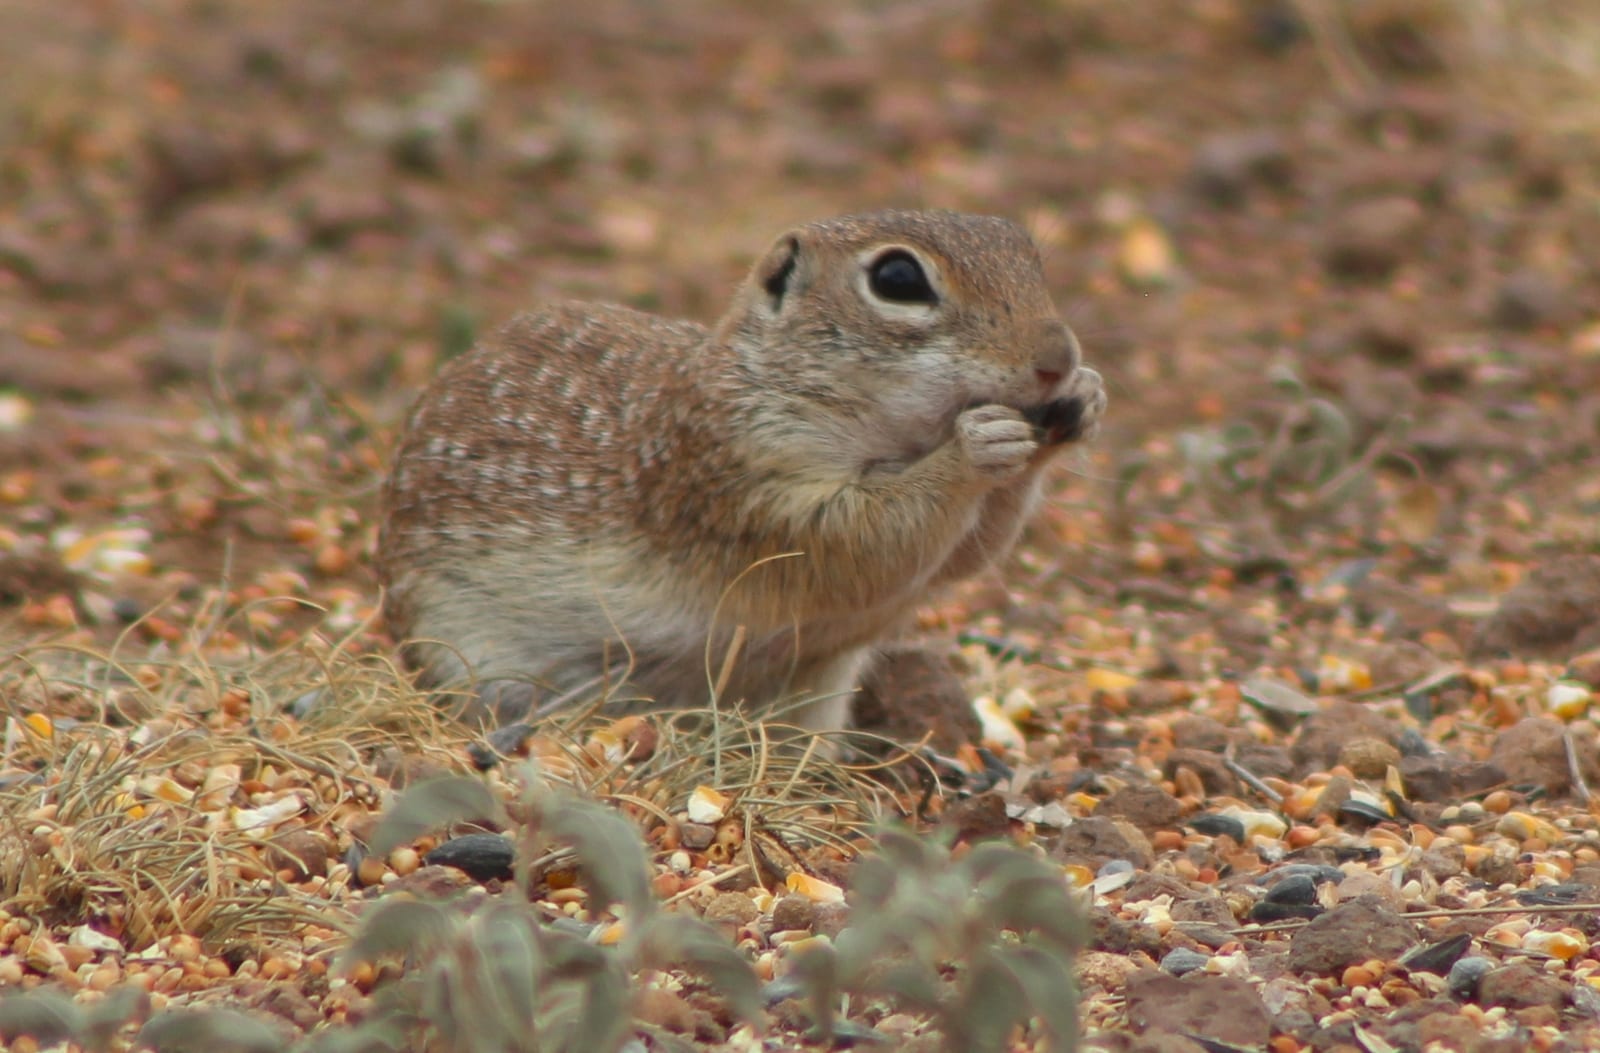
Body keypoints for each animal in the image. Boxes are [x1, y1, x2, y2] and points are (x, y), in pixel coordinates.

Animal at [377, 209, 1106, 734]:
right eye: (898, 280)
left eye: (1026, 252)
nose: (1059, 358)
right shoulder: (746, 476)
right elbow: (865, 542)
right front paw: (974, 447)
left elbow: (964, 556)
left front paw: (1084, 401)